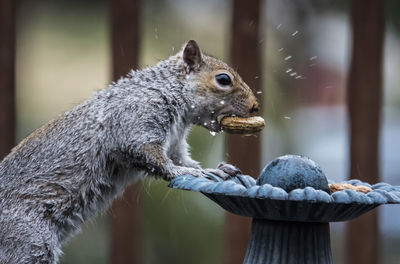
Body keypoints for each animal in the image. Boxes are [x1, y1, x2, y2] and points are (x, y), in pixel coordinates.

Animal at [0, 40, 260, 262]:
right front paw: (190, 173)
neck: (169, 91)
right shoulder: (136, 119)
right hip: (28, 241)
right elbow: (156, 159)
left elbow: (181, 159)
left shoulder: (175, 143)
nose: (255, 106)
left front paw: (216, 170)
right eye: (224, 79)